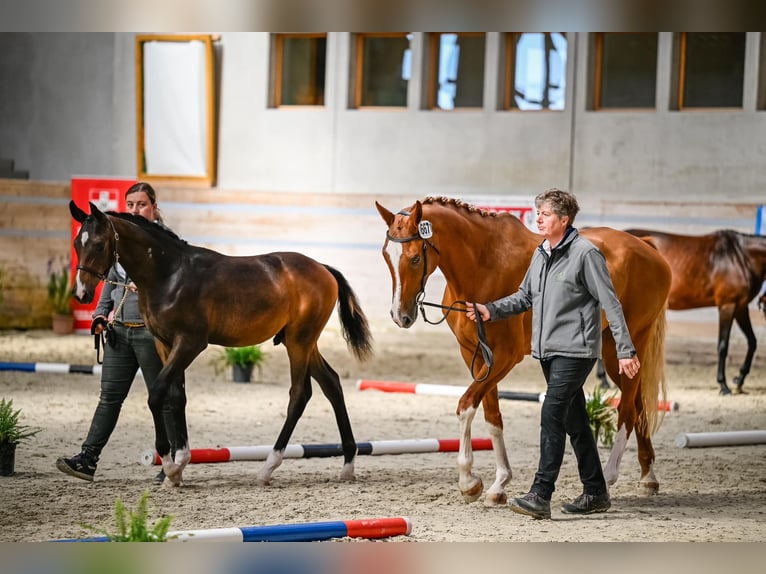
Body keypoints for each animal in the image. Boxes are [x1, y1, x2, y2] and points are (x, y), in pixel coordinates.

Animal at [69, 200, 376, 488]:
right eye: (76, 243)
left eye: (98, 244)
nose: (82, 294)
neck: (170, 274)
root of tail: (323, 269)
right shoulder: (165, 344)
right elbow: (176, 397)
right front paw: (178, 469)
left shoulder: (190, 344)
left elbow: (156, 394)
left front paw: (168, 464)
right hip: (302, 342)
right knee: (332, 384)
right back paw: (347, 466)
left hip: (299, 342)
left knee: (300, 394)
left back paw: (268, 468)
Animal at [628, 230, 764, 396]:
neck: (741, 257)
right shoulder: (727, 306)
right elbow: (723, 346)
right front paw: (723, 385)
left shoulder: (740, 307)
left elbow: (752, 341)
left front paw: (739, 381)